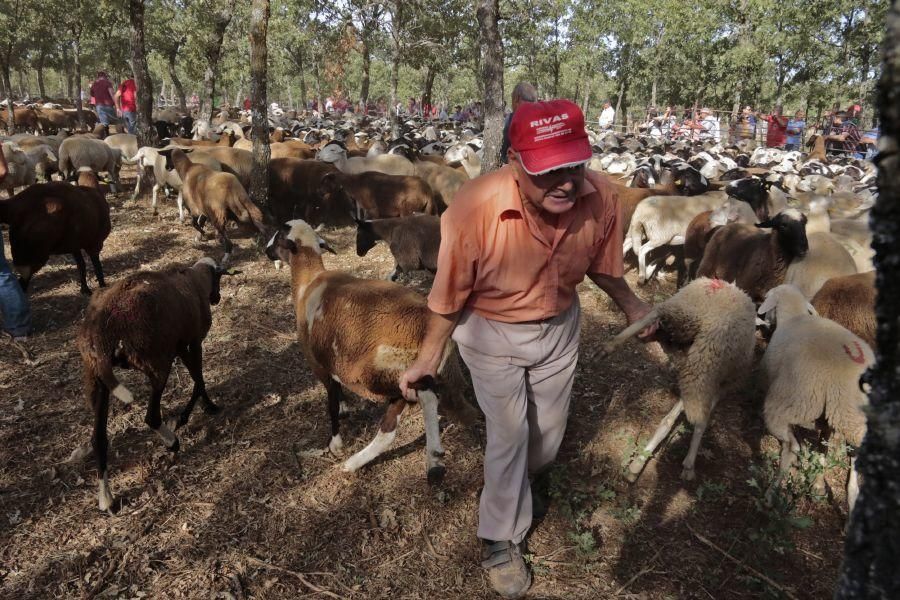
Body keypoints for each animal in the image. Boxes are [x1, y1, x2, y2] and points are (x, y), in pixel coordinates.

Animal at [76, 256, 236, 510]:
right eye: (219, 278)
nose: (217, 298)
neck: (195, 280)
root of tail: (102, 330)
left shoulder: (180, 346)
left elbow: (196, 376)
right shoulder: (193, 342)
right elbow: (199, 378)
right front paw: (200, 410)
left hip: (96, 379)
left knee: (98, 439)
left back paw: (106, 498)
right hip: (156, 363)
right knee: (151, 417)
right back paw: (172, 442)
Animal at [264, 220, 474, 482]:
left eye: (278, 236)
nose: (266, 251)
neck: (308, 281)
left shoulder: (319, 365)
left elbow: (331, 402)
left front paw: (335, 444)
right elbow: (338, 395)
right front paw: (345, 409)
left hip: (382, 372)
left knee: (425, 395)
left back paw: (433, 458)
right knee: (390, 429)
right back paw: (357, 463)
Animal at [596, 278, 760, 480]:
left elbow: (668, 419)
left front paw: (639, 462)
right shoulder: (720, 386)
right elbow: (696, 421)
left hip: (682, 315)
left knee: (657, 312)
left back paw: (610, 345)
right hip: (705, 367)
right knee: (700, 418)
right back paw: (688, 463)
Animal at [756, 284, 876, 510]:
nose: (764, 322)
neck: (794, 316)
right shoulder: (825, 422)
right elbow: (822, 449)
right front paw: (819, 485)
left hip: (791, 402)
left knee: (789, 444)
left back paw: (771, 491)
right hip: (853, 418)